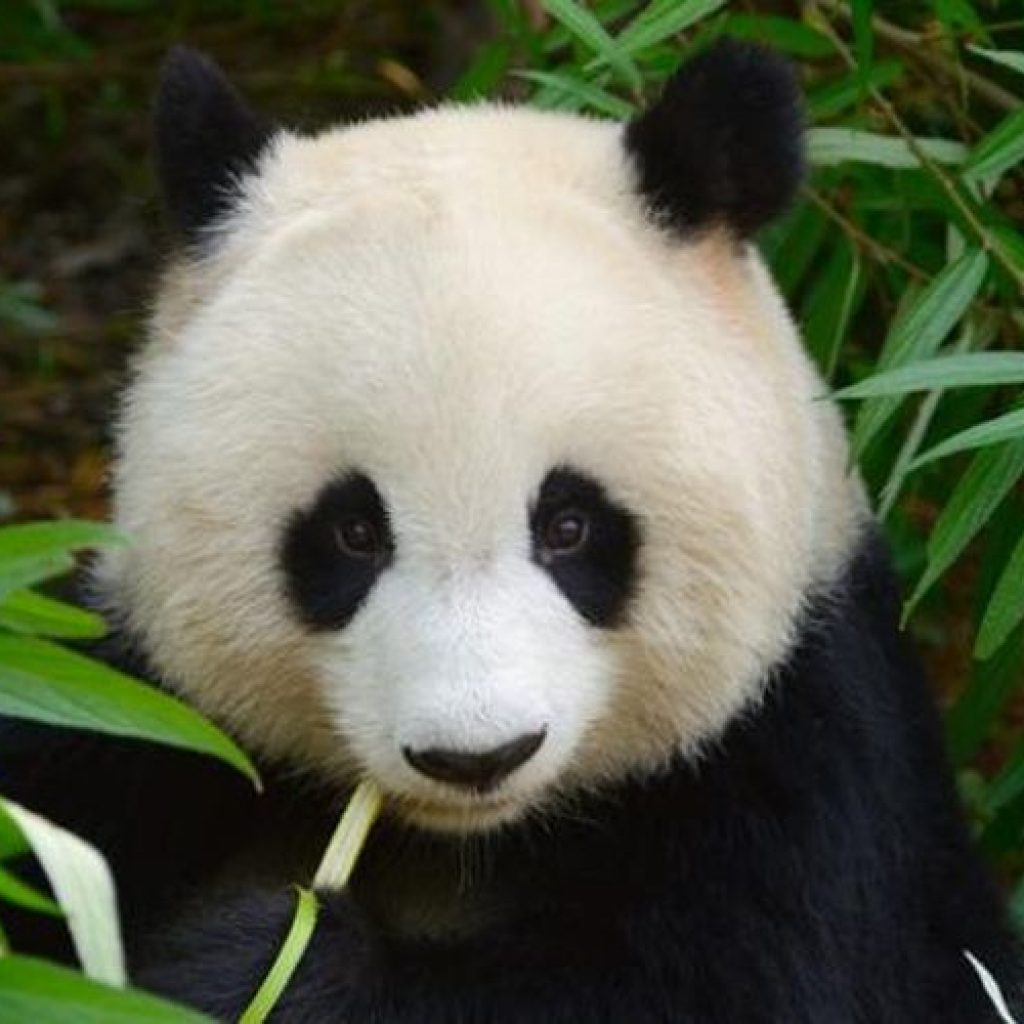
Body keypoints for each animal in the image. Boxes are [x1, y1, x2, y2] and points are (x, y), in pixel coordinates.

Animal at [2, 38, 1021, 1023]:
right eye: (353, 533)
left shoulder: (804, 754)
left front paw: (260, 964)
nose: (476, 756)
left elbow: (721, 986)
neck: (468, 841)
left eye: (569, 526)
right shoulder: (136, 708)